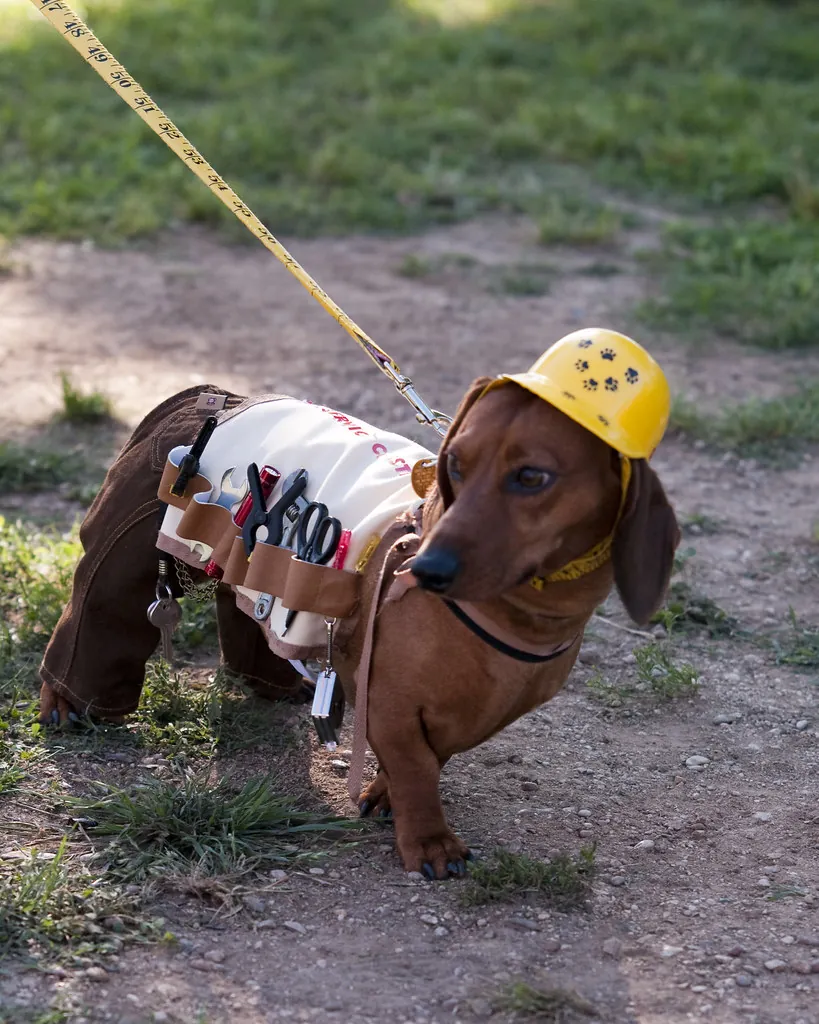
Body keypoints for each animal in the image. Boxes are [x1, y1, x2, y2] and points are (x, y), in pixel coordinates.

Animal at [38, 376, 679, 880]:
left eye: (531, 477)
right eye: (455, 465)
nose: (426, 567)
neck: (506, 621)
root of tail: (212, 396)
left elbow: (430, 755)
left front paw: (384, 794)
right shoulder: (386, 700)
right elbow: (418, 767)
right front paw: (429, 842)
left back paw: (271, 681)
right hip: (134, 539)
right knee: (99, 613)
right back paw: (69, 705)